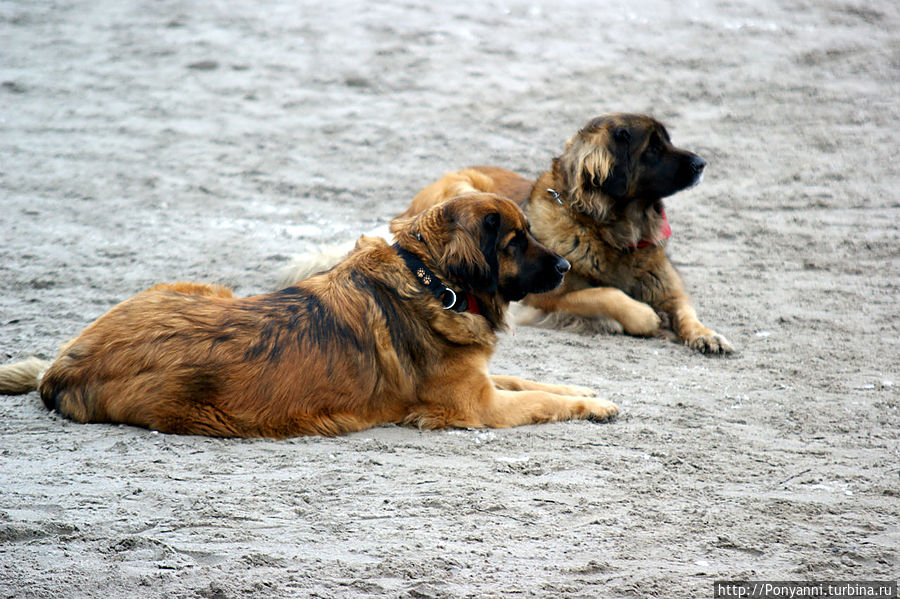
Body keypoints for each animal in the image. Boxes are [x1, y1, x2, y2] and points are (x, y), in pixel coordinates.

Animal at [0, 195, 620, 438]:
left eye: (531, 233)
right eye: (516, 242)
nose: (566, 265)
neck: (431, 278)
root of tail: (64, 366)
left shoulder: (481, 380)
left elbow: (534, 380)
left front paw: (589, 390)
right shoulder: (475, 406)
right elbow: (538, 400)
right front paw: (589, 407)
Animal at [404, 115, 736, 354]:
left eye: (668, 141)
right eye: (653, 148)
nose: (702, 164)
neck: (612, 235)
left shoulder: (666, 286)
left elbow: (685, 309)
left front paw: (707, 335)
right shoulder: (547, 296)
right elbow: (605, 293)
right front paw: (642, 318)